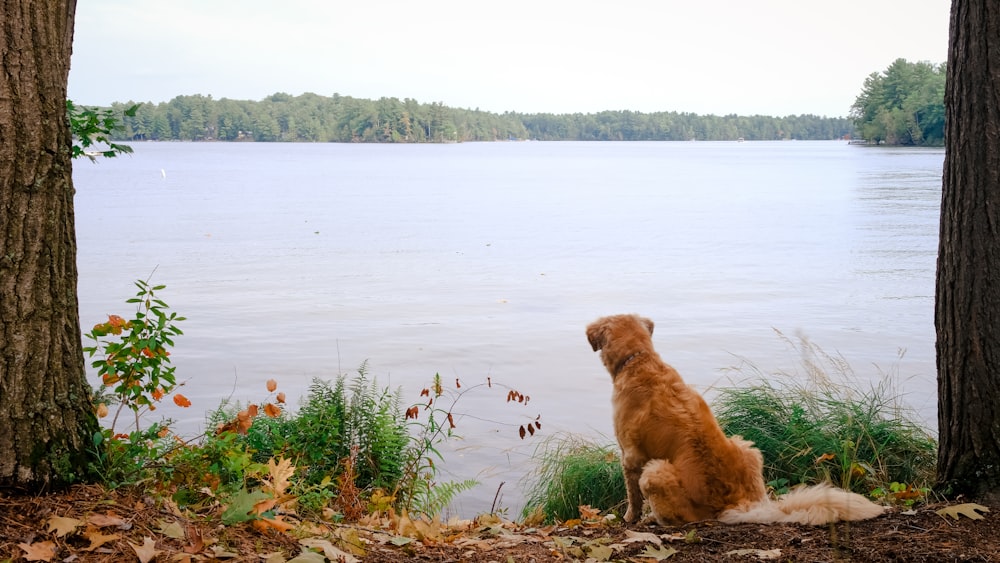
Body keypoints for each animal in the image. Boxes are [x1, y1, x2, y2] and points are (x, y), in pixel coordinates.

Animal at [588, 316, 888, 528]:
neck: (638, 360)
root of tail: (737, 504)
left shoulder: (630, 455)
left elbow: (632, 496)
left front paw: (629, 518)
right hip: (746, 446)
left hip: (655, 472)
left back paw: (654, 520)